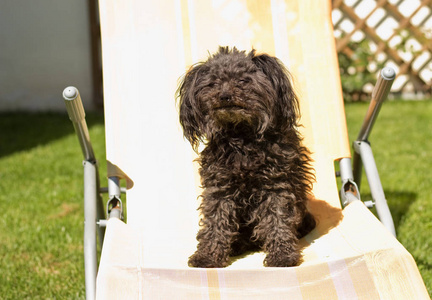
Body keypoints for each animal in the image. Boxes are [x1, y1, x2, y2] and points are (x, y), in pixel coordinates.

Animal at [177, 47, 316, 270]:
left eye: (243, 80)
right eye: (213, 83)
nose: (225, 96)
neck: (241, 136)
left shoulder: (276, 185)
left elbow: (277, 220)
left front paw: (282, 255)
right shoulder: (219, 188)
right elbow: (216, 222)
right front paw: (207, 256)